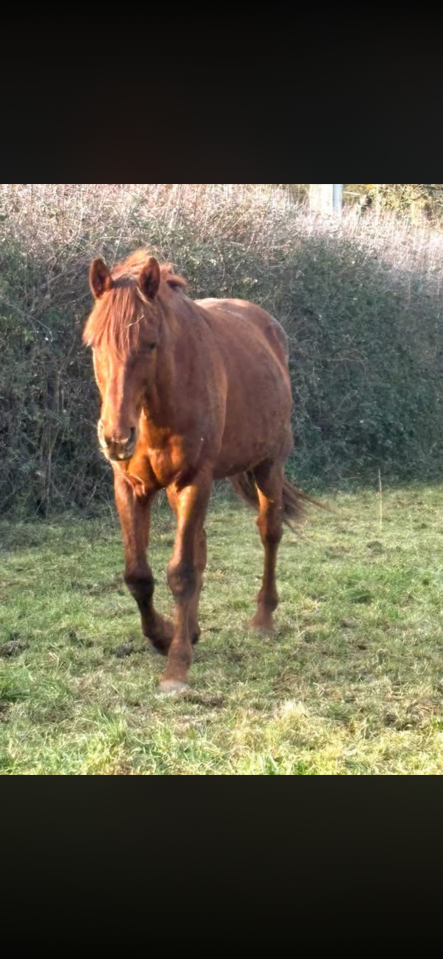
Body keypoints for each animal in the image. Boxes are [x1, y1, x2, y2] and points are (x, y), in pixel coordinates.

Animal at [83, 249, 324, 693]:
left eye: (150, 343)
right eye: (93, 344)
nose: (116, 438)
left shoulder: (194, 481)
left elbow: (181, 572)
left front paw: (176, 666)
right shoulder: (130, 486)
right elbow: (139, 574)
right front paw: (164, 636)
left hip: (268, 466)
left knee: (269, 532)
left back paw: (263, 618)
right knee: (200, 547)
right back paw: (191, 629)